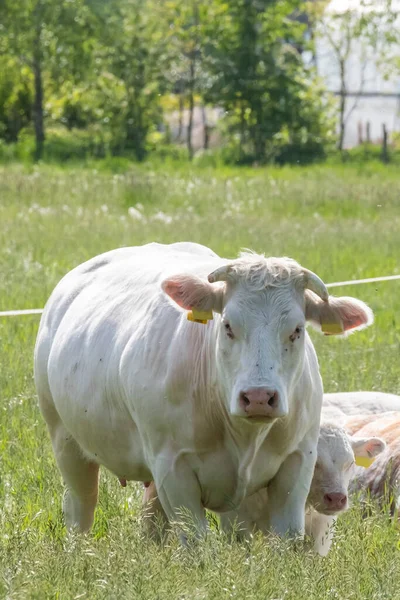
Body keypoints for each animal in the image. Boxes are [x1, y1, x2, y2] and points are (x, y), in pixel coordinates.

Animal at [32, 241, 374, 540]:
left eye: (297, 330)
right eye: (228, 326)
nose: (259, 398)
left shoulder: (297, 462)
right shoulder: (172, 468)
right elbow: (195, 542)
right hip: (66, 441)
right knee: (80, 509)